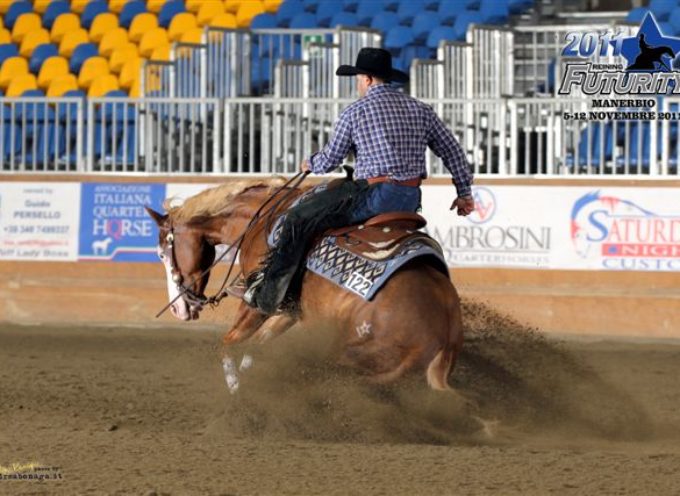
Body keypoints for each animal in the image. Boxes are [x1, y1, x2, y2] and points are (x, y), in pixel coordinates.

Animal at [145, 176, 464, 394]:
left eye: (161, 253)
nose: (178, 310)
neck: (260, 221)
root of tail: (442, 337)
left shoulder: (259, 300)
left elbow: (228, 343)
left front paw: (235, 386)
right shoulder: (290, 310)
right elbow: (257, 345)